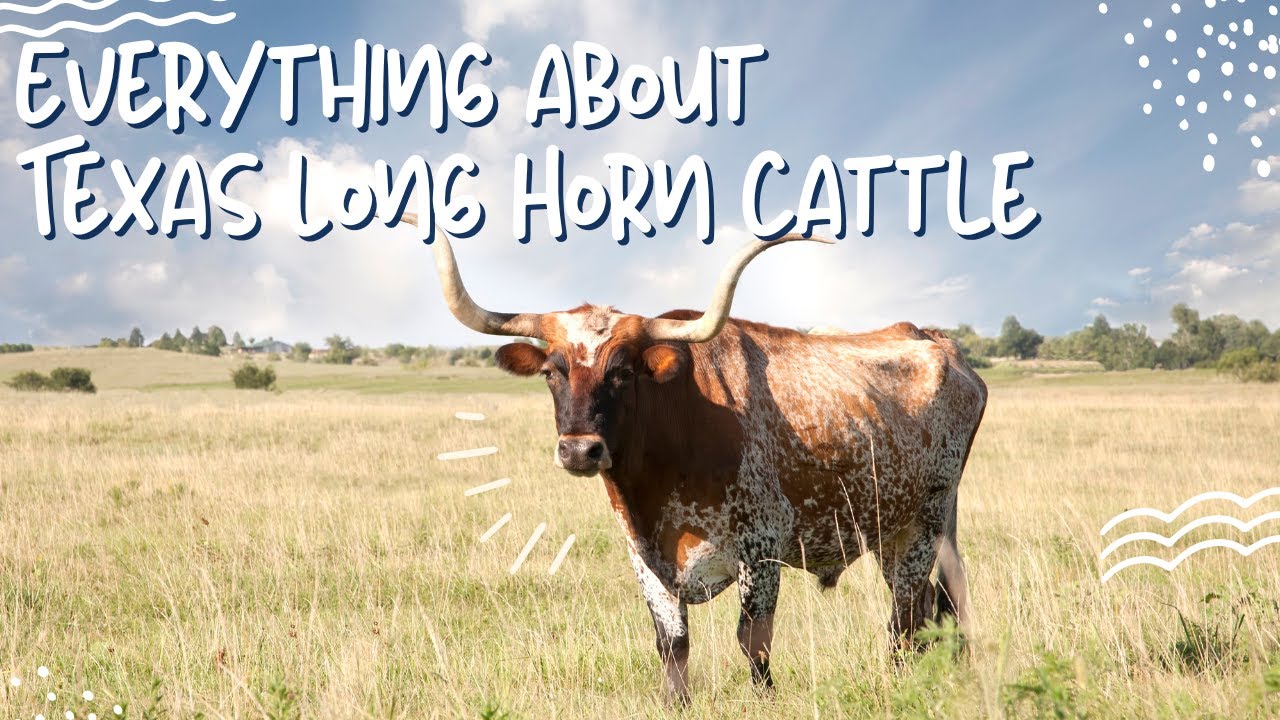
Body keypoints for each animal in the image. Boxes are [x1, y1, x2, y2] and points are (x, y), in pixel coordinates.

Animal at [400, 215, 987, 704]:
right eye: (552, 372)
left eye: (623, 372)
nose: (579, 450)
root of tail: (939, 342)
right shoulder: (644, 556)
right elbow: (672, 643)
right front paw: (674, 702)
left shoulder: (761, 547)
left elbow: (753, 641)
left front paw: (765, 701)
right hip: (895, 530)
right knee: (932, 608)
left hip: (926, 522)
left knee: (906, 617)